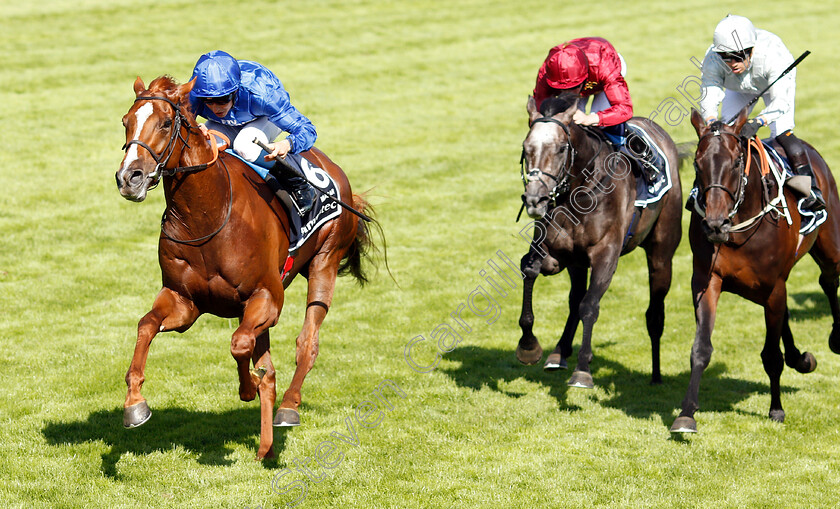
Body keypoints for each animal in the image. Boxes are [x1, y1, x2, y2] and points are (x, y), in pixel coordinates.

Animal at [115, 76, 378, 460]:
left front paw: (247, 387)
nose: (129, 177)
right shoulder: (184, 302)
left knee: (307, 342)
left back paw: (288, 407)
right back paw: (265, 446)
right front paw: (135, 404)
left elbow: (240, 345)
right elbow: (146, 325)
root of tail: (330, 166)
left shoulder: (267, 296)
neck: (207, 215)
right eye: (126, 122)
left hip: (325, 261)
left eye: (165, 123)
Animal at [672, 108, 840, 432]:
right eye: (697, 163)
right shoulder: (707, 280)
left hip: (829, 246)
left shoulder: (773, 287)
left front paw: (776, 409)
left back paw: (836, 338)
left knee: (829, 280)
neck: (739, 230)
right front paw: (686, 414)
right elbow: (701, 348)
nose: (714, 224)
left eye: (736, 162)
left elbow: (772, 355)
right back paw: (801, 358)